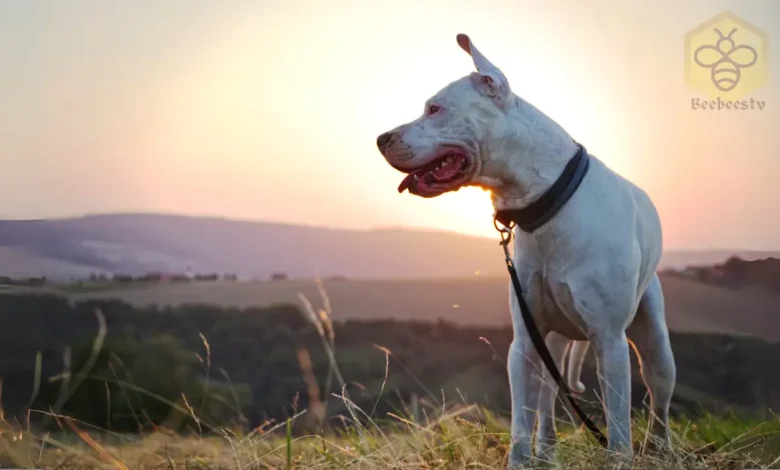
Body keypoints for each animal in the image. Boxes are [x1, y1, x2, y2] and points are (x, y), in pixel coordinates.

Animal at [378, 33, 676, 466]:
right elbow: (522, 413)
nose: (380, 139)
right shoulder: (522, 343)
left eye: (434, 109)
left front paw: (619, 458)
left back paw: (660, 449)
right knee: (549, 399)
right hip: (551, 341)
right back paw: (547, 452)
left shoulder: (609, 340)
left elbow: (618, 418)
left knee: (659, 397)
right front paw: (520, 460)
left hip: (654, 342)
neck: (546, 204)